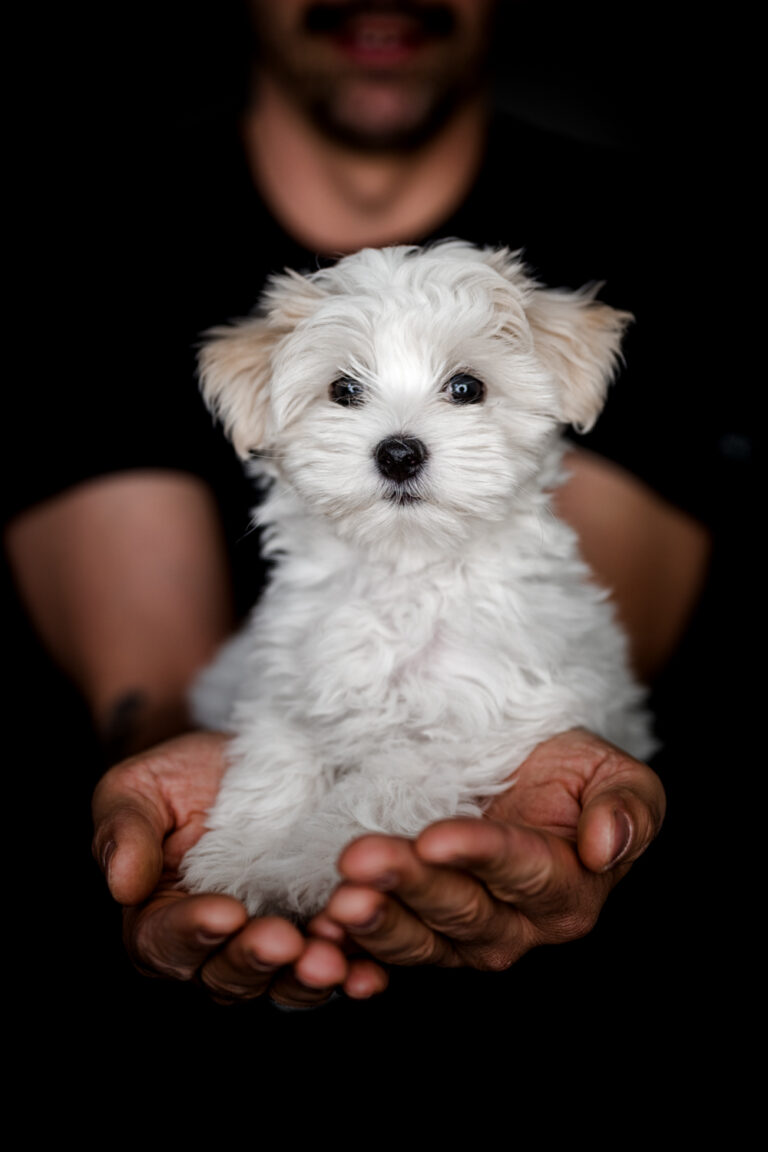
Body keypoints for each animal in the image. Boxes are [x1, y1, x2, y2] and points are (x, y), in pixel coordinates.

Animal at [180, 240, 654, 916]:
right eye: (344, 389)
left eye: (466, 387)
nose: (398, 453)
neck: (405, 571)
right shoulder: (289, 693)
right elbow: (272, 771)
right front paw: (241, 856)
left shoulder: (473, 720)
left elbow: (374, 795)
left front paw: (309, 863)